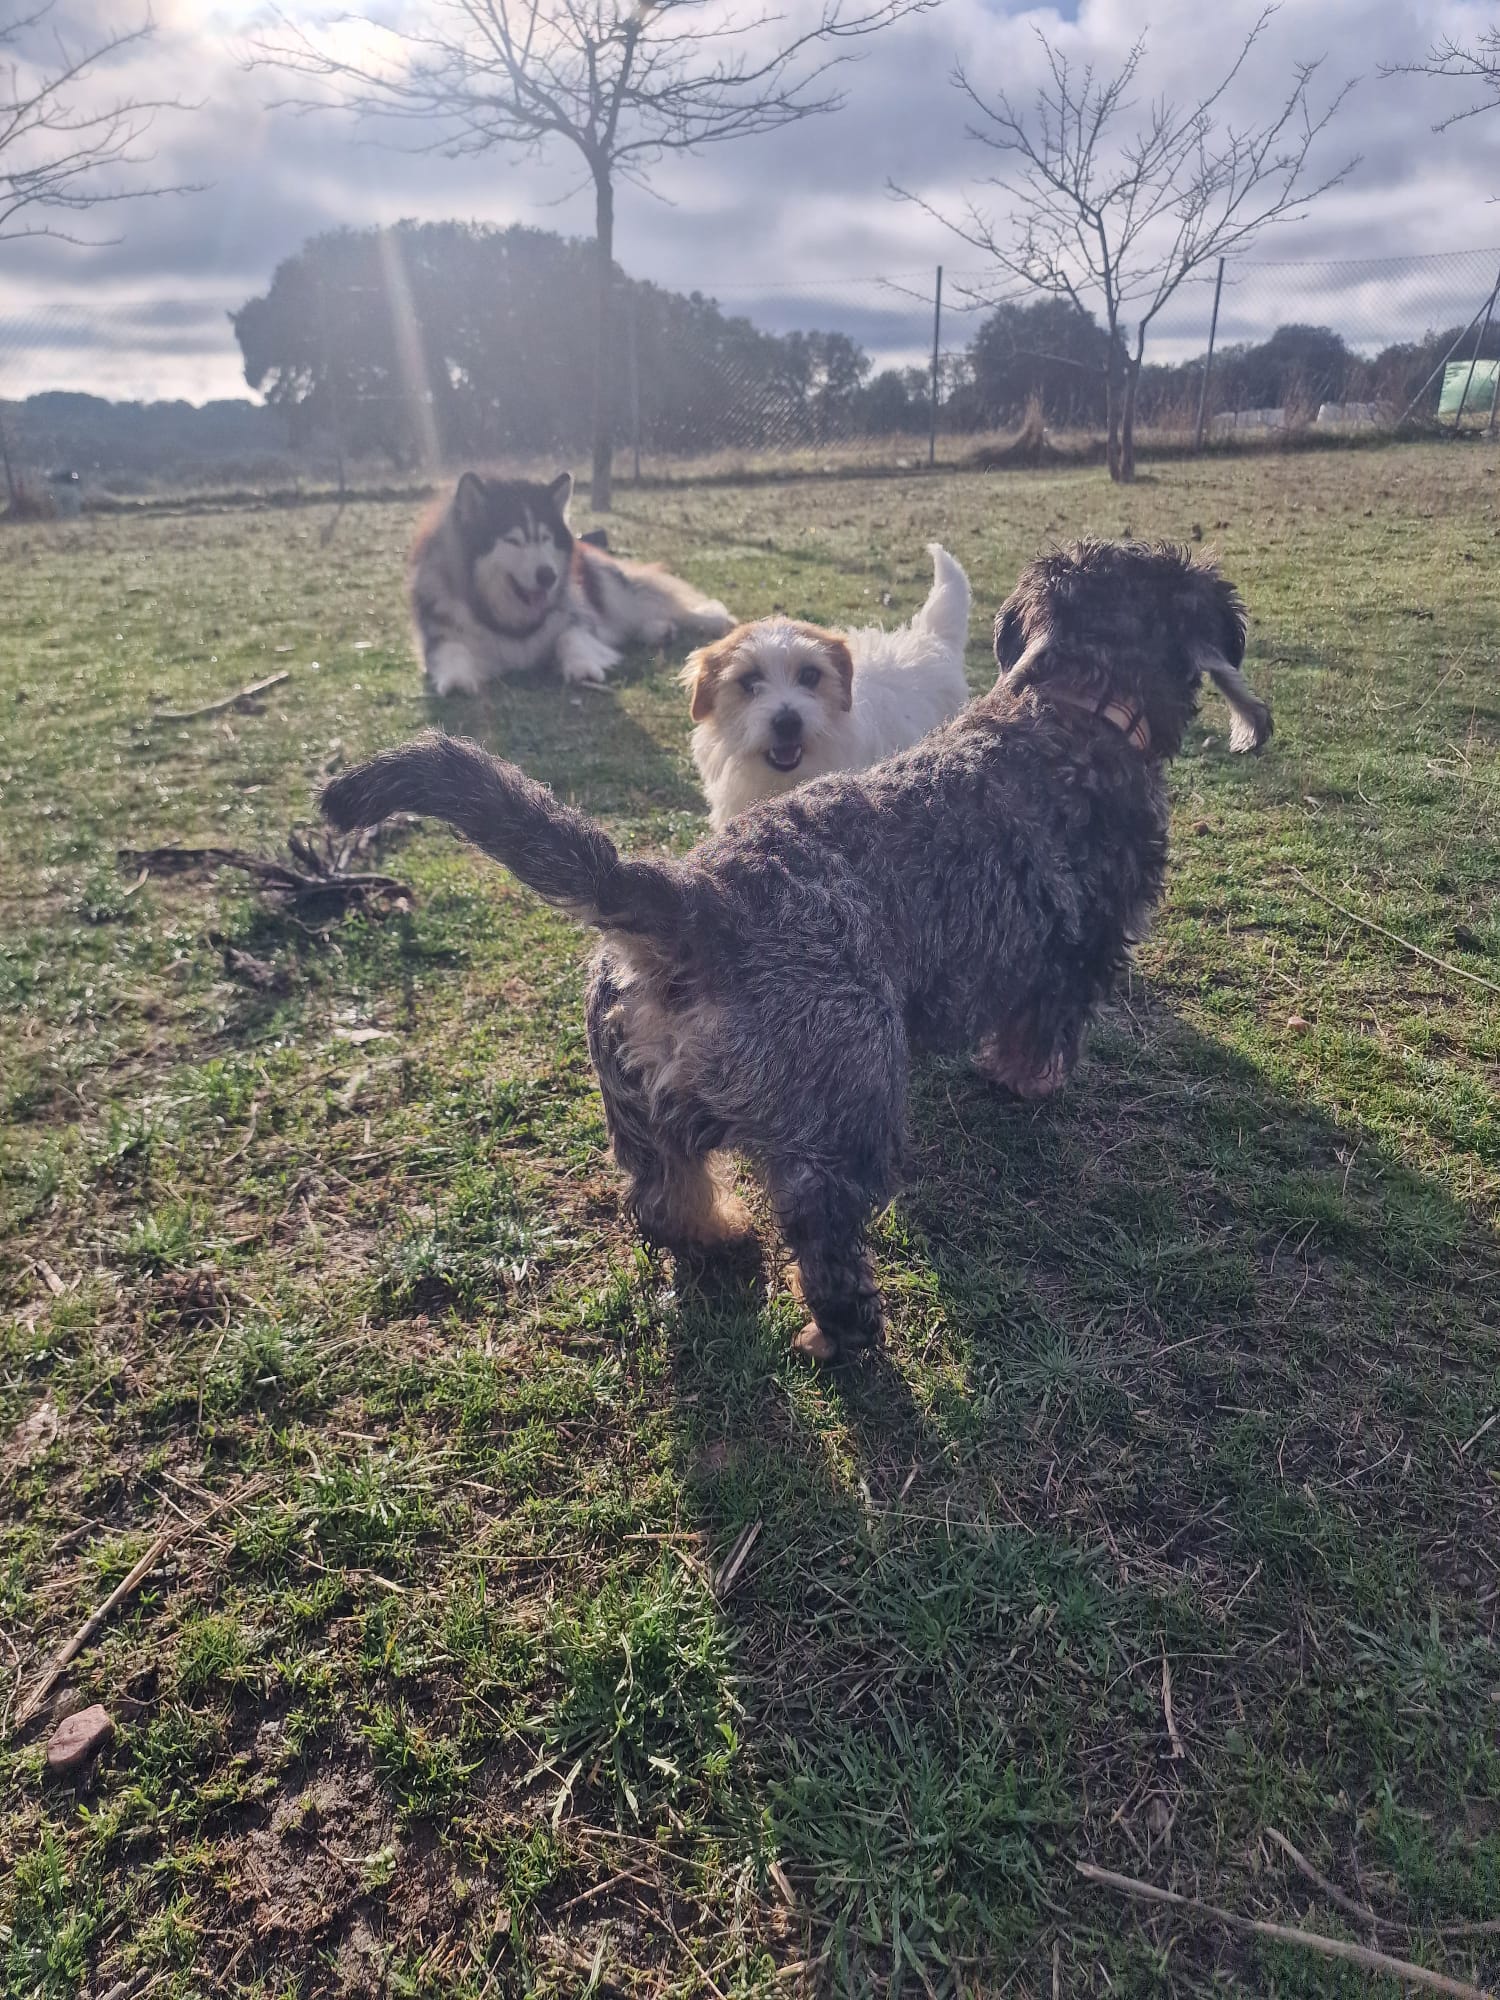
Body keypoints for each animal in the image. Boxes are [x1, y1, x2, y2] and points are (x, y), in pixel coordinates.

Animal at [410, 470, 735, 692]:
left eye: (545, 538)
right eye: (513, 541)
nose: (548, 576)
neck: (510, 618)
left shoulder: (576, 617)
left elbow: (571, 636)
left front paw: (582, 666)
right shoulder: (441, 634)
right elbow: (451, 651)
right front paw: (456, 679)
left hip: (612, 589)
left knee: (659, 605)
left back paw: (711, 621)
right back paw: (658, 630)